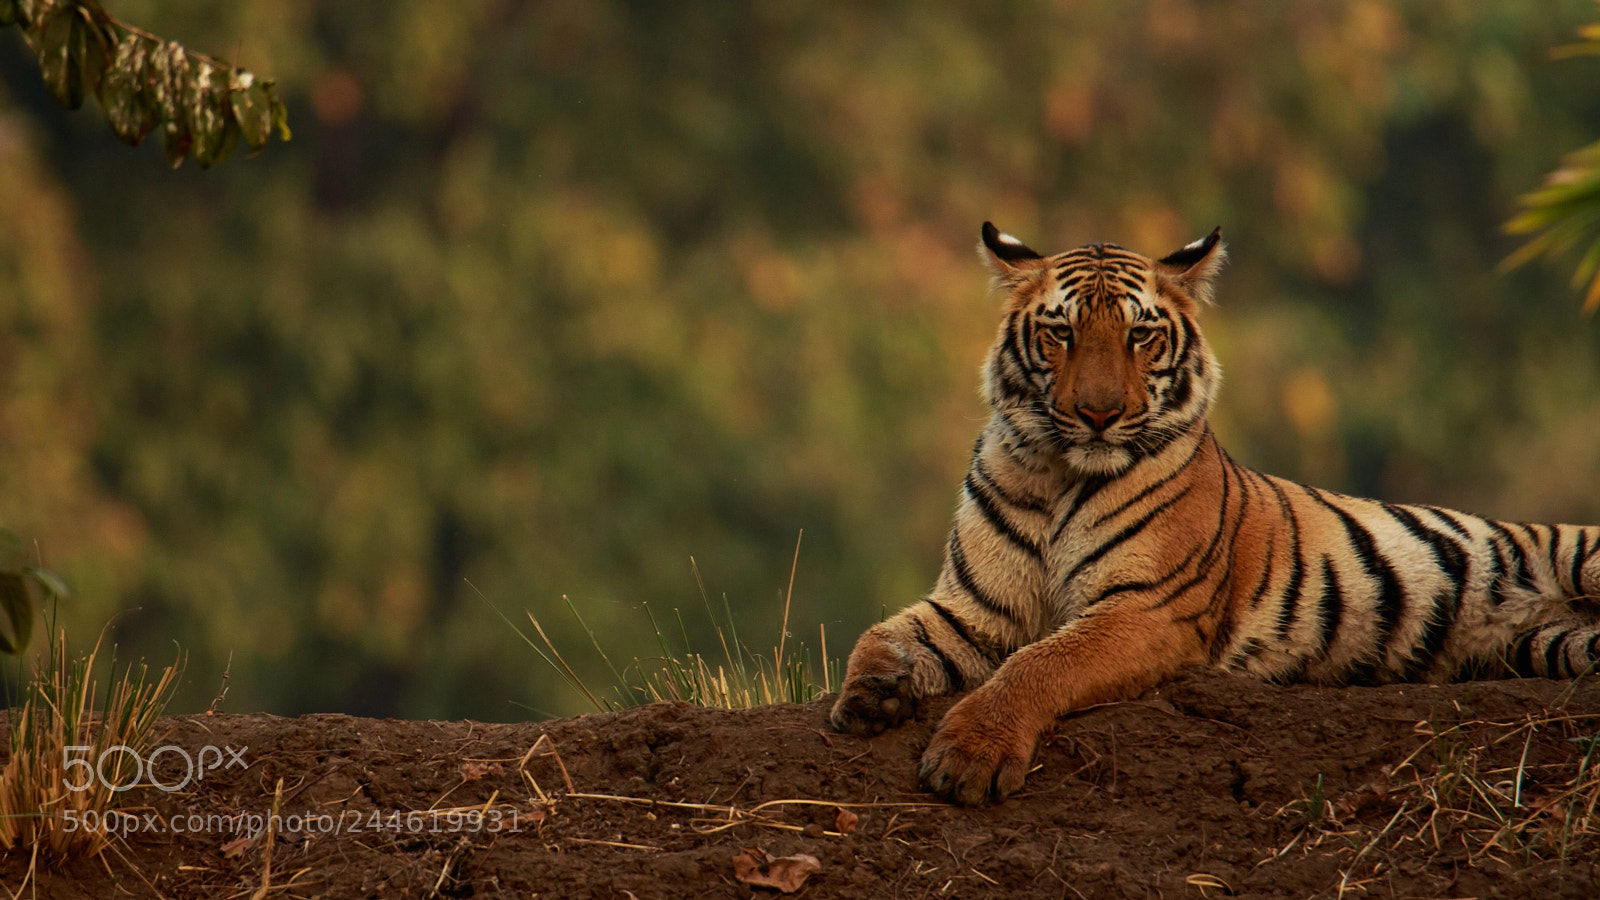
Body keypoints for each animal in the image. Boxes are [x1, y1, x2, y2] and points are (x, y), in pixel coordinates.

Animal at [830, 223, 1600, 806]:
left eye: (1139, 337)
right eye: (1062, 334)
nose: (1099, 414)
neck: (1054, 473)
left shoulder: (1145, 609)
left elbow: (1037, 665)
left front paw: (969, 756)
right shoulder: (975, 606)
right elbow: (882, 633)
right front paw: (872, 695)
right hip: (1551, 647)